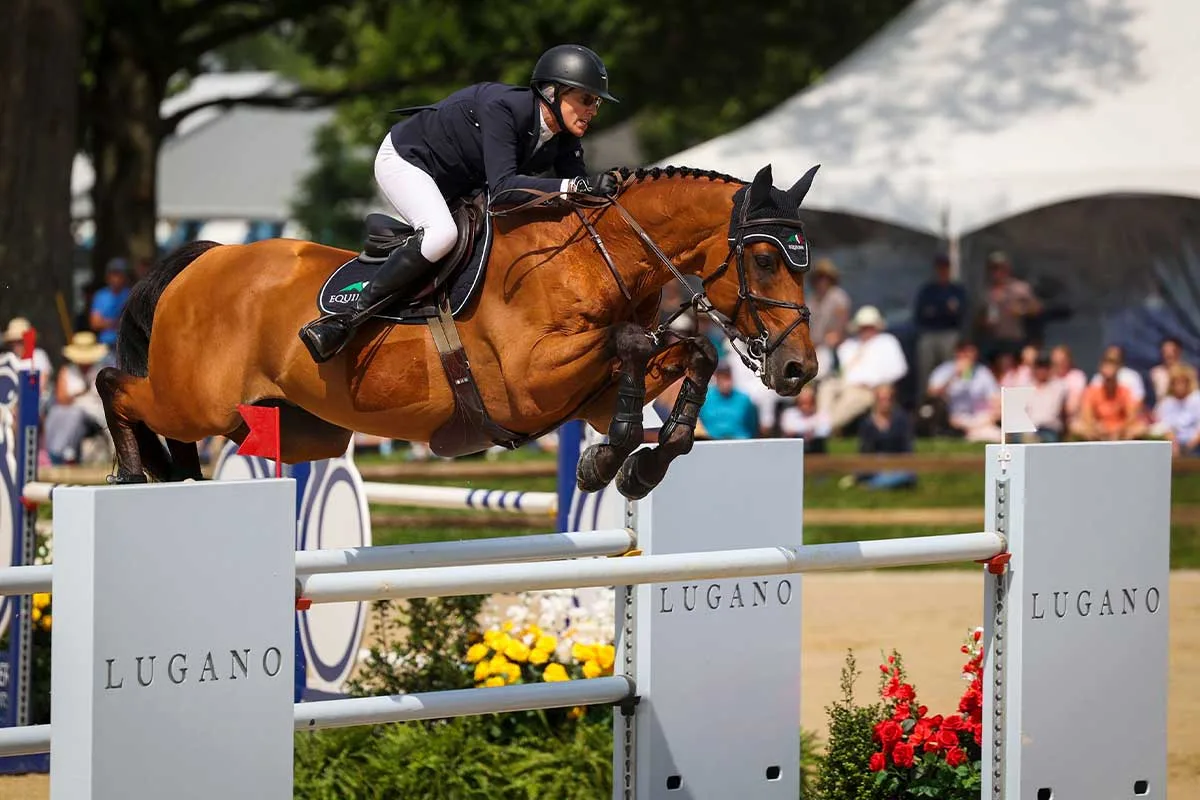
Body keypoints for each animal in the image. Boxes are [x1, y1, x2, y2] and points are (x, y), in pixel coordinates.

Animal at [96, 162, 821, 500]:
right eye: (764, 259)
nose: (800, 370)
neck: (598, 254)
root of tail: (205, 256)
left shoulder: (586, 392)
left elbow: (689, 351)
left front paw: (644, 465)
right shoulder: (529, 384)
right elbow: (632, 343)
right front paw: (604, 461)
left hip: (289, 427)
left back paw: (177, 479)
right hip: (195, 398)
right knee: (115, 384)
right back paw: (131, 474)